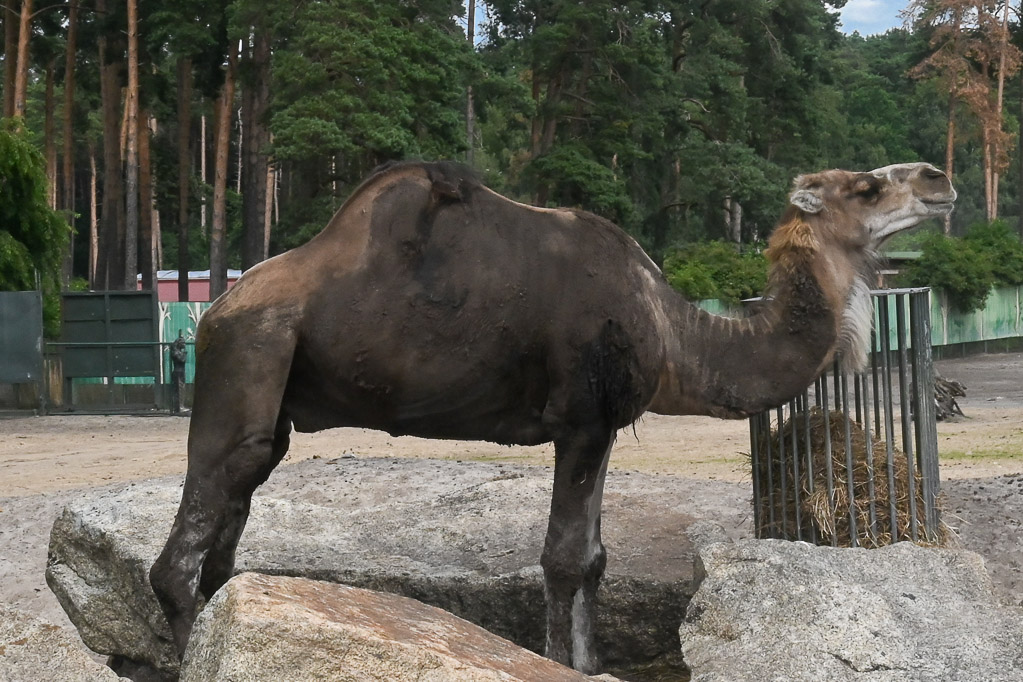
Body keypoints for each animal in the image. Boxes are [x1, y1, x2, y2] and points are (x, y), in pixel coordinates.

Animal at [150, 160, 955, 673]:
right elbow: (564, 558)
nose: (939, 178)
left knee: (231, 523)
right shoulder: (582, 418)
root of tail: (213, 311)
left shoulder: (600, 427)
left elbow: (593, 560)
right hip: (250, 352)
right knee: (190, 538)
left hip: (279, 391)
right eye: (866, 185)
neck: (672, 330)